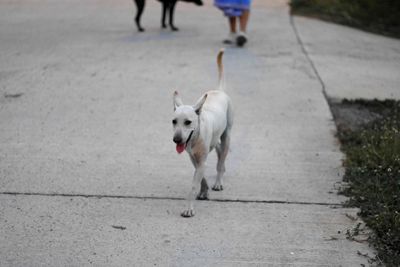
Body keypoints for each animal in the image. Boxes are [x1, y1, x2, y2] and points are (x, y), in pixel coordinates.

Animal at [171, 49, 233, 218]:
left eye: (188, 122)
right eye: (174, 121)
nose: (176, 140)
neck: (195, 138)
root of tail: (219, 90)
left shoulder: (201, 160)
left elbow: (194, 185)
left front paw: (189, 208)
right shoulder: (194, 158)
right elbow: (201, 177)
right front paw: (204, 191)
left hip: (227, 135)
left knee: (221, 160)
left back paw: (219, 181)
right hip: (215, 140)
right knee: (218, 151)